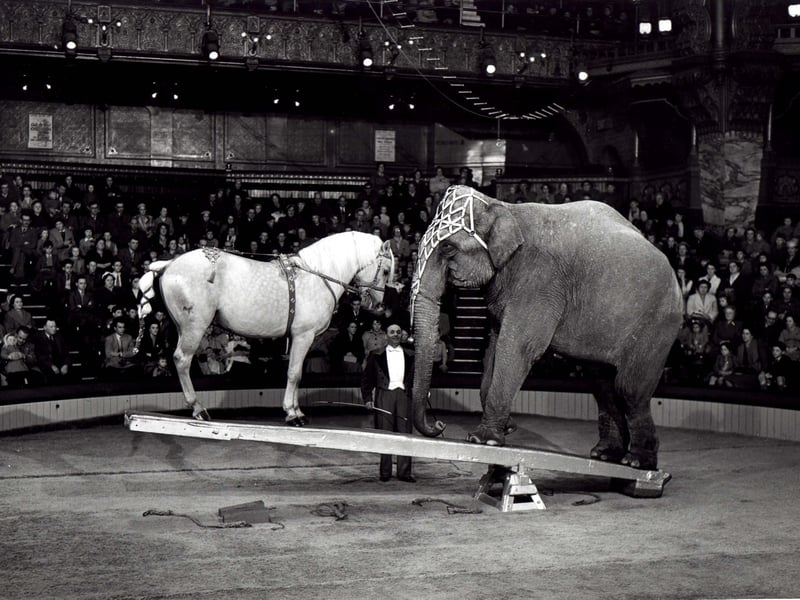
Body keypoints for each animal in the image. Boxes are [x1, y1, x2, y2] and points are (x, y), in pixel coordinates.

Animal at [137, 231, 395, 425]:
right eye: (384, 271)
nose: (378, 305)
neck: (317, 276)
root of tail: (170, 264)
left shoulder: (301, 339)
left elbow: (297, 374)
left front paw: (297, 410)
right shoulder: (303, 336)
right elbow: (294, 373)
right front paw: (292, 414)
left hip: (183, 328)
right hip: (194, 328)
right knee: (182, 360)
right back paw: (198, 408)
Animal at [410, 185, 683, 469]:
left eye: (447, 248)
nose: (439, 425)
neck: (504, 207)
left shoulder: (540, 279)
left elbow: (518, 346)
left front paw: (483, 440)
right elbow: (495, 345)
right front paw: (505, 428)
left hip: (658, 324)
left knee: (628, 388)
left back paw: (638, 462)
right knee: (602, 384)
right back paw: (605, 455)